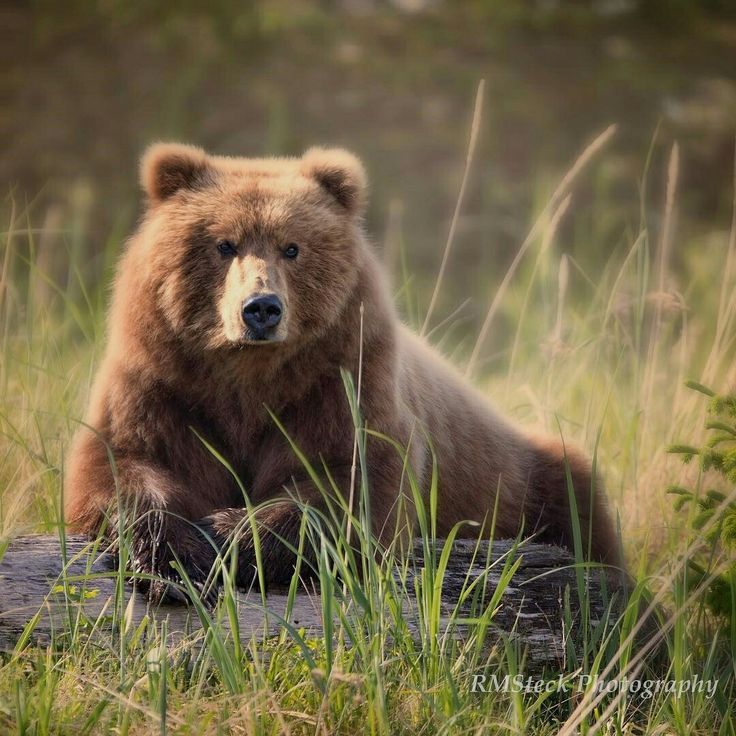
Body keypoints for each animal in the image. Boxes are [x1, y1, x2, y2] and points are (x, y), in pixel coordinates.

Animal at [65, 143, 621, 603]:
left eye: (292, 247)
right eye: (224, 244)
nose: (261, 309)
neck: (247, 373)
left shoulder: (339, 381)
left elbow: (352, 481)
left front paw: (234, 537)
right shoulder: (165, 383)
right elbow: (120, 465)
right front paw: (177, 560)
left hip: (536, 482)